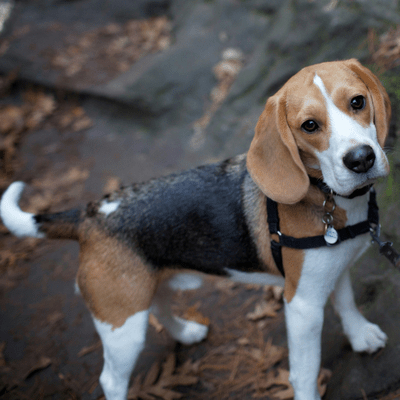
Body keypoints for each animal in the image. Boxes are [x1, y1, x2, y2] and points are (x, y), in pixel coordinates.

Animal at [0, 59, 390, 400]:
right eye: (309, 125)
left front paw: (360, 336)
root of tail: (90, 214)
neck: (325, 195)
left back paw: (186, 332)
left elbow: (347, 303)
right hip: (122, 325)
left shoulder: (335, 269)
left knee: (159, 306)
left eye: (357, 102)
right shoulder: (303, 304)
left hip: (146, 286)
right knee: (110, 379)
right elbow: (306, 370)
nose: (361, 159)